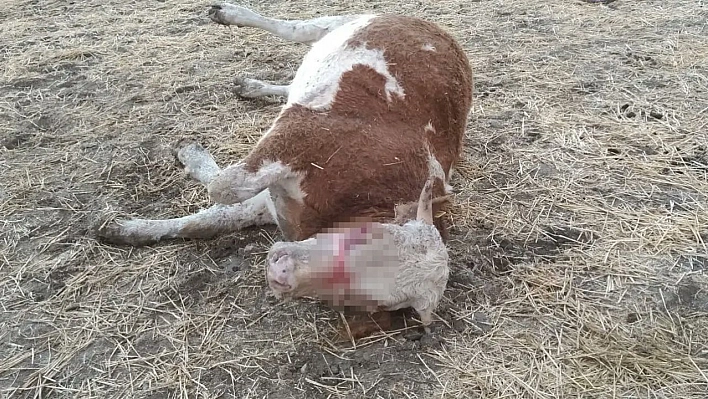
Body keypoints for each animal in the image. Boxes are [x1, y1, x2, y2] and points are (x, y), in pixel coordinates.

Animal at [97, 3, 472, 252]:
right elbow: (221, 199)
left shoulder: (279, 179)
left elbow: (217, 207)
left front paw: (123, 227)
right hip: (338, 28)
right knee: (298, 32)